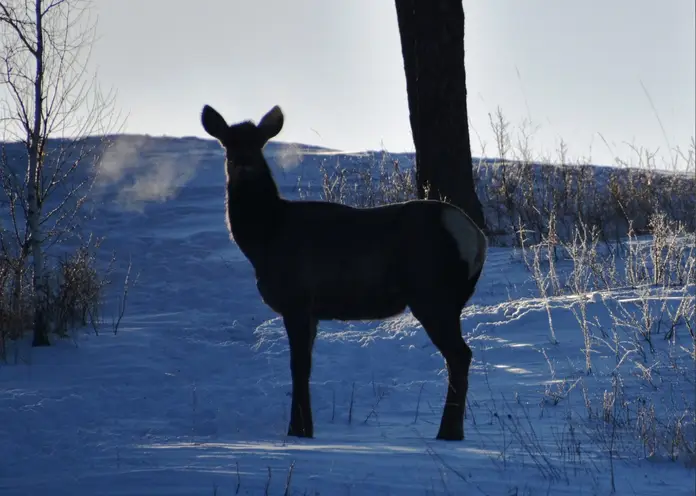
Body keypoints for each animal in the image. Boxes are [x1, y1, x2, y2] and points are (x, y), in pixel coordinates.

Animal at [198, 102, 486, 440]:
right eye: (228, 144)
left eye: (258, 144)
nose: (242, 164)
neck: (265, 237)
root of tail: (476, 237)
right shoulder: (311, 311)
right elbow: (305, 366)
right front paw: (306, 428)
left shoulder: (297, 299)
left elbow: (298, 366)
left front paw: (298, 431)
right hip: (451, 300)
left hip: (431, 293)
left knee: (459, 355)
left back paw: (448, 433)